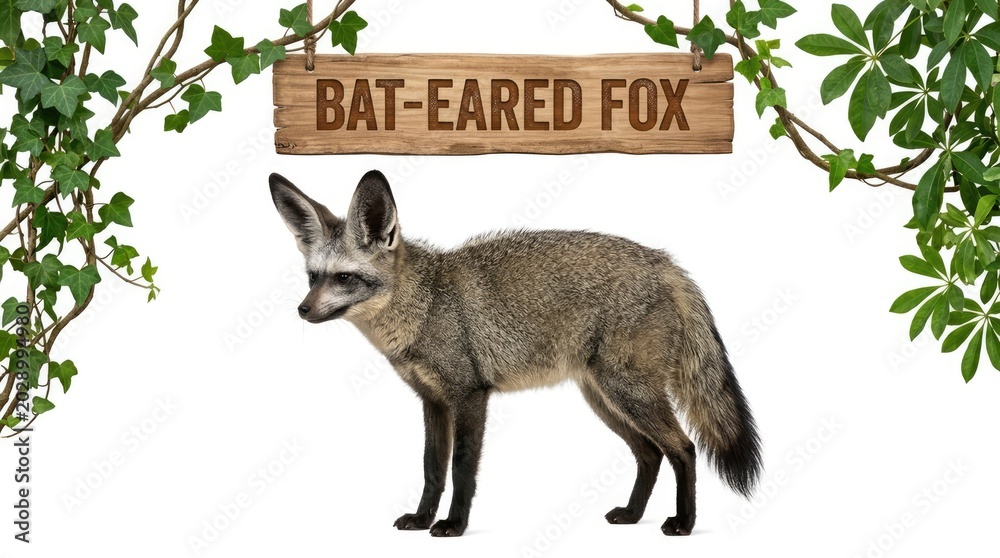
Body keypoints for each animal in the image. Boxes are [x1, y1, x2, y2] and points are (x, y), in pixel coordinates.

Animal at [267, 169, 762, 537]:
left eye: (344, 278)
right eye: (313, 277)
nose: (302, 310)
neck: (426, 305)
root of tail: (665, 262)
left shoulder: (470, 395)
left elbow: (462, 468)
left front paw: (453, 525)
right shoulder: (432, 401)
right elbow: (432, 468)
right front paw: (423, 518)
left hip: (628, 393)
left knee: (684, 448)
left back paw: (684, 522)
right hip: (604, 398)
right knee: (650, 454)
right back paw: (633, 515)